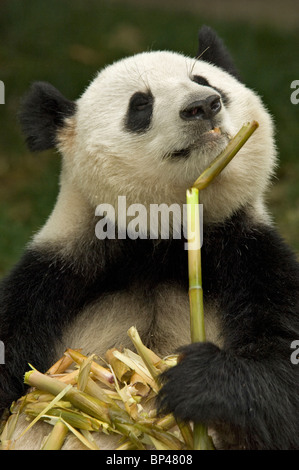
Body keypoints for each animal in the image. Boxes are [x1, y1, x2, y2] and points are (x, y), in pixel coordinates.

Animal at [0, 26, 299, 452]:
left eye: (206, 82)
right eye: (140, 104)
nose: (203, 105)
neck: (159, 241)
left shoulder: (254, 258)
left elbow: (283, 368)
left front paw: (198, 378)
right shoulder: (49, 281)